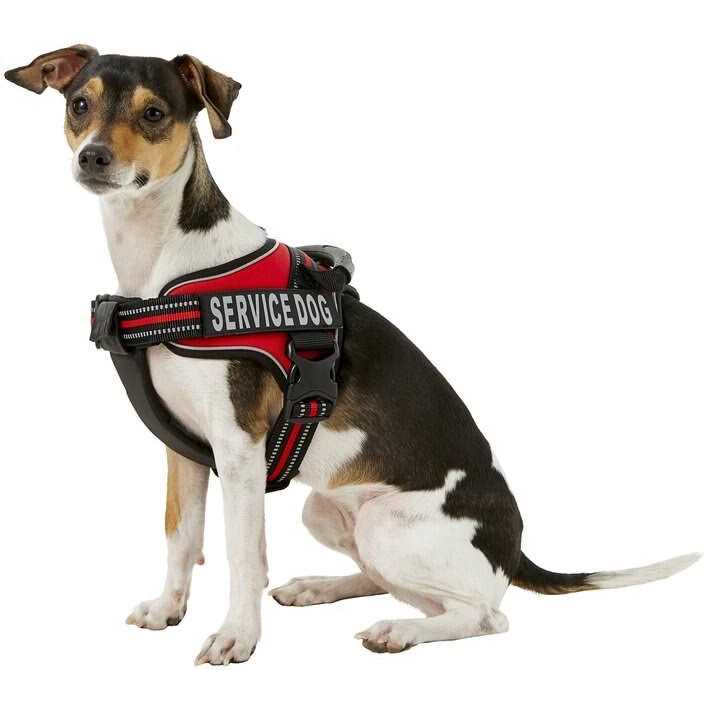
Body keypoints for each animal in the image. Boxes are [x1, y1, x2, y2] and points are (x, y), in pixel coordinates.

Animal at [4, 45, 700, 665]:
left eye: (153, 113)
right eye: (79, 104)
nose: (93, 156)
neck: (166, 266)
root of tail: (514, 548)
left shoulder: (238, 451)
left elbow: (242, 553)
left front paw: (237, 637)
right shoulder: (186, 450)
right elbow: (181, 534)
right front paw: (169, 608)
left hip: (388, 526)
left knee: (483, 615)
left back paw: (400, 632)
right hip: (327, 512)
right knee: (395, 584)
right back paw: (322, 588)